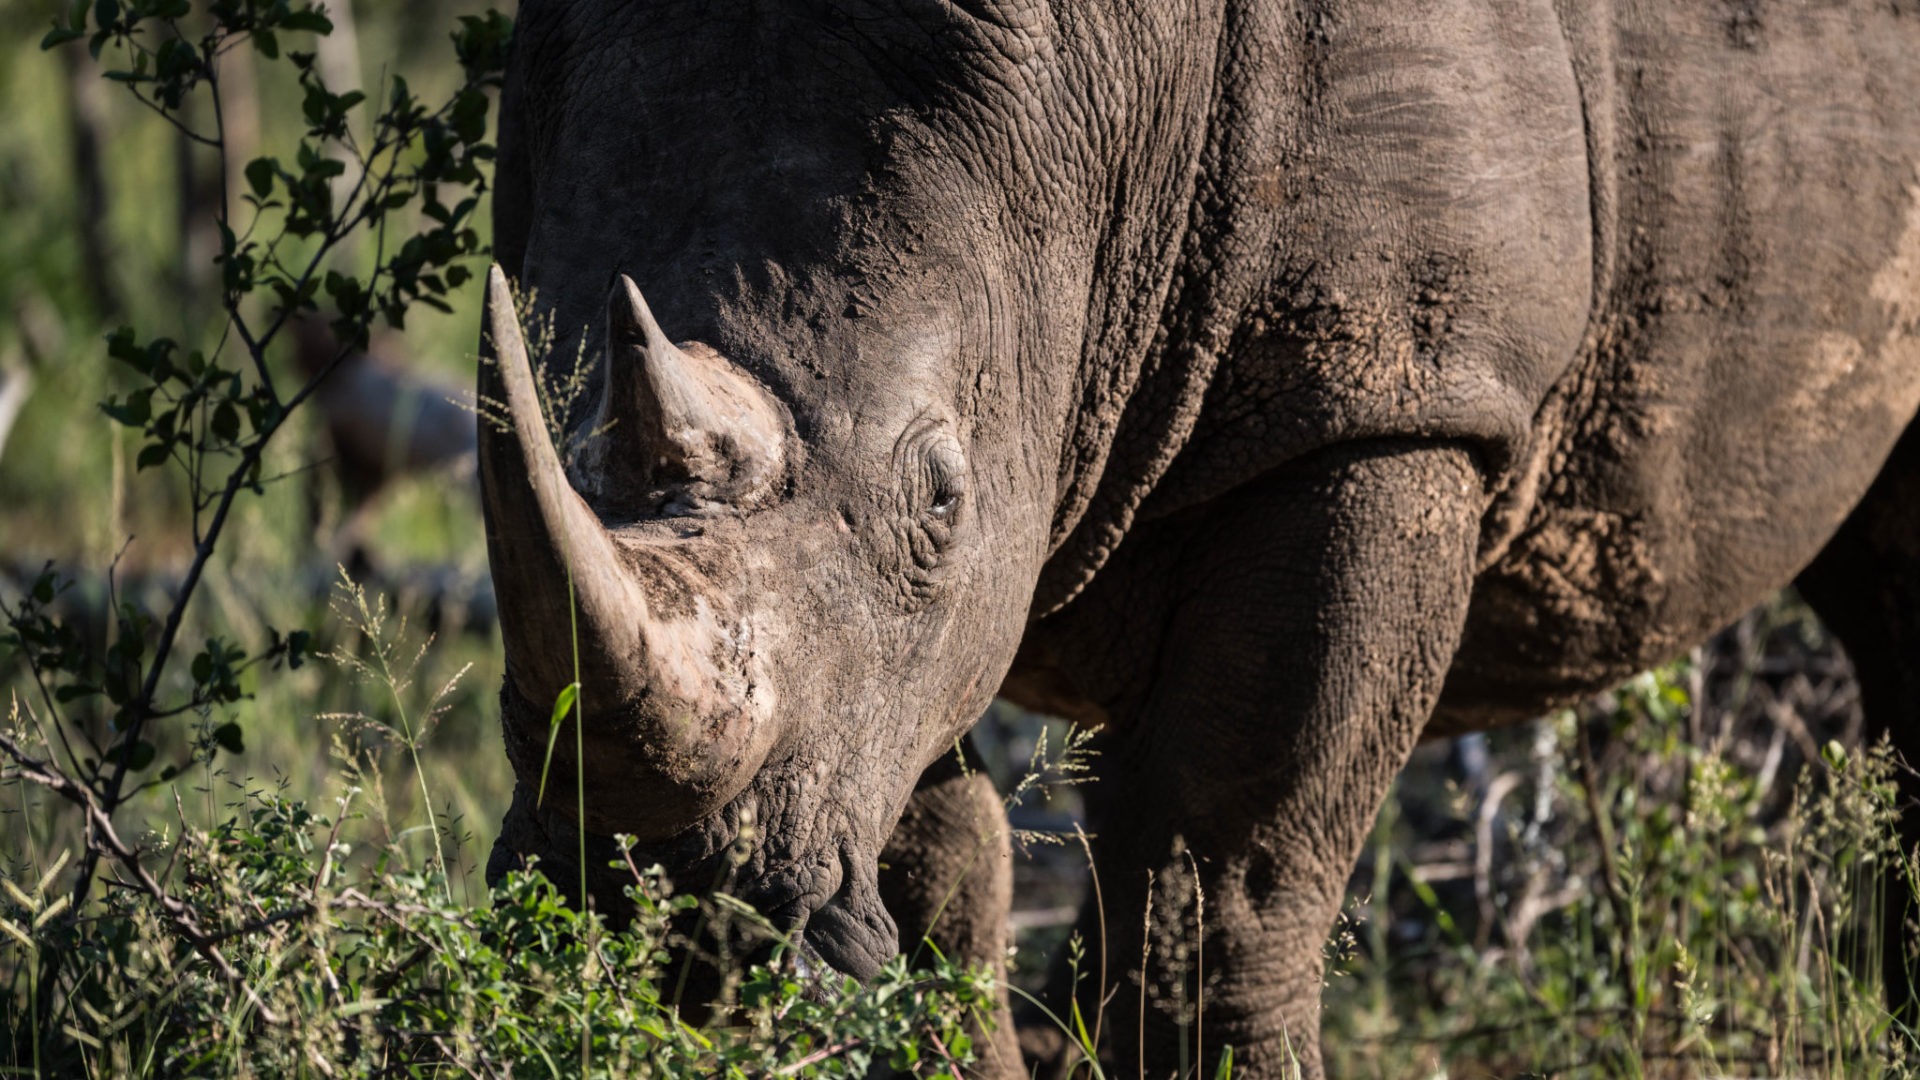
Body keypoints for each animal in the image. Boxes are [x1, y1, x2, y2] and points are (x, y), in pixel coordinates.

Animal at [477, 1, 1920, 1075]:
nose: (666, 930)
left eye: (941, 501)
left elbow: (1219, 882)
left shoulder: (1392, 399)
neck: (1097, 113)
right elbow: (944, 855)